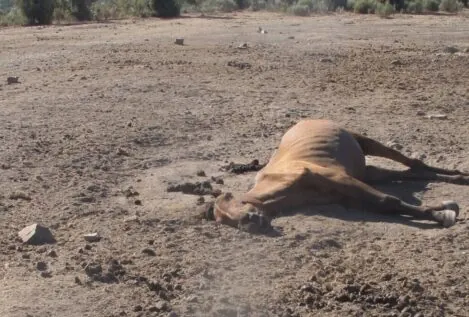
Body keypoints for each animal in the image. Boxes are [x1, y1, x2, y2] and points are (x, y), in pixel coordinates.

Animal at [202, 119, 468, 231]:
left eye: (230, 204)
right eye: (222, 220)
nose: (252, 223)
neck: (279, 182)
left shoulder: (341, 180)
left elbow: (388, 201)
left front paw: (442, 214)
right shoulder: (345, 195)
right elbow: (387, 206)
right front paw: (442, 211)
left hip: (367, 144)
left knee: (413, 163)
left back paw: (461, 177)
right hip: (369, 173)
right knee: (413, 171)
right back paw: (458, 178)